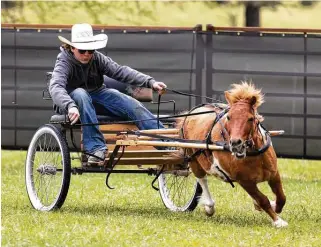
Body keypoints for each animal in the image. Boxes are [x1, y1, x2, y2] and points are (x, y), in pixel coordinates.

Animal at [176, 82, 286, 228]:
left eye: (250, 118)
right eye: (229, 117)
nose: (235, 142)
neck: (253, 154)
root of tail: (190, 114)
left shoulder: (274, 174)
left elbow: (281, 198)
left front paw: (272, 208)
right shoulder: (245, 181)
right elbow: (263, 199)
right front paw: (278, 221)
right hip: (193, 160)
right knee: (202, 179)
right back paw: (209, 206)